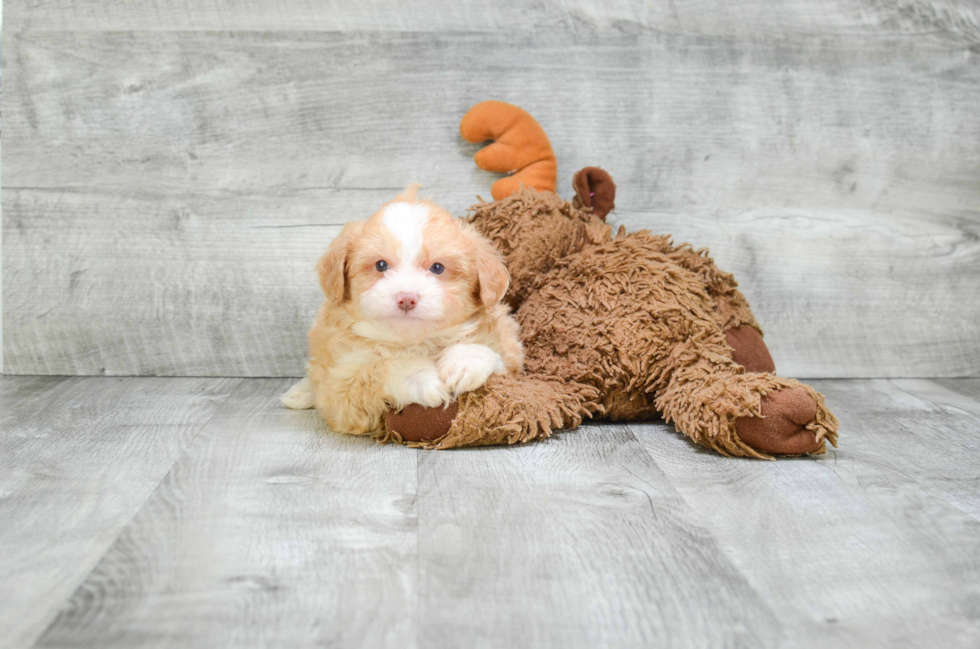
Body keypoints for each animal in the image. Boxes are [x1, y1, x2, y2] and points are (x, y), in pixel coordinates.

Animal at [280, 185, 524, 436]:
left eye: (437, 268)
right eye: (381, 265)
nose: (406, 298)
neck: (412, 342)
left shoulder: (510, 351)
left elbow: (496, 356)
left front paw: (465, 361)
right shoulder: (340, 393)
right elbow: (378, 369)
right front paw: (419, 377)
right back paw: (300, 392)